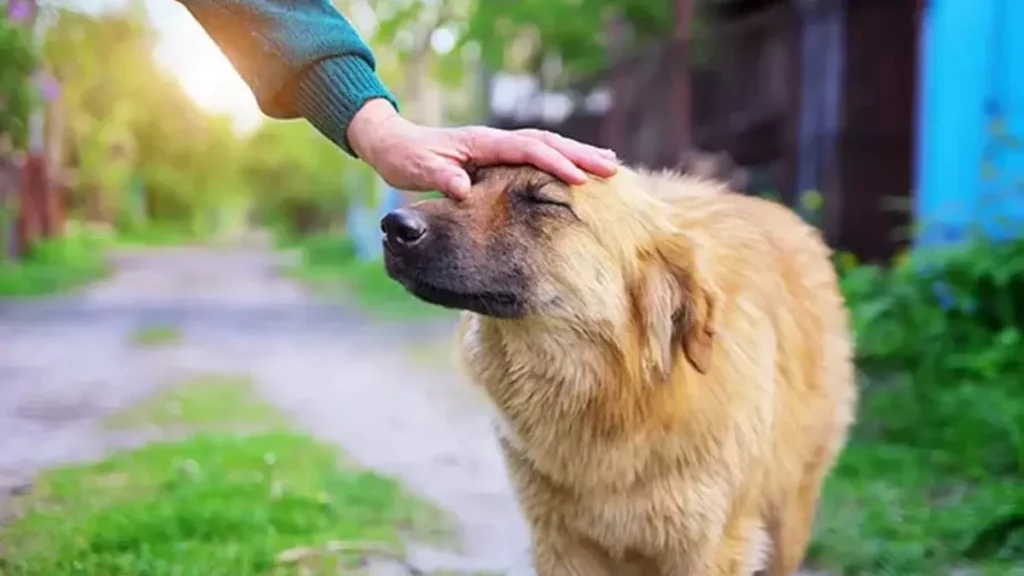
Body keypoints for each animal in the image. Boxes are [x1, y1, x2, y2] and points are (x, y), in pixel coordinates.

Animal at [380, 162, 860, 573]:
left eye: (545, 202)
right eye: (467, 181)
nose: (394, 227)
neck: (621, 398)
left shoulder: (710, 548)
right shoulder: (561, 544)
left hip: (788, 519)